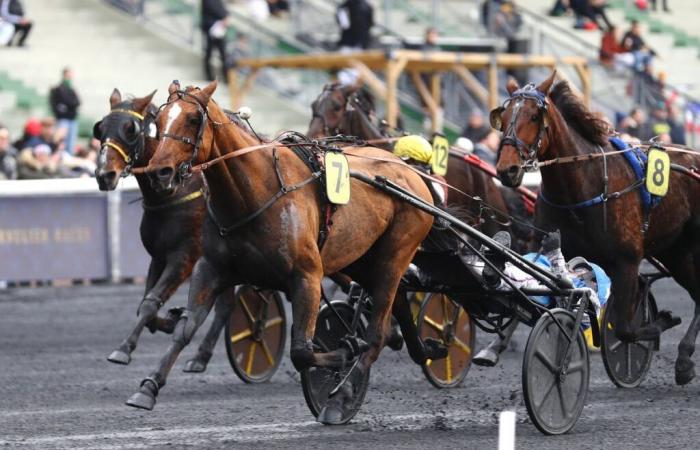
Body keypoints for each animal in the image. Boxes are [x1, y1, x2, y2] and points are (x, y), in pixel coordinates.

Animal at [93, 89, 237, 374]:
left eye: (130, 129)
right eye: (100, 128)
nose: (105, 174)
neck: (175, 191)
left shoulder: (185, 257)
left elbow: (150, 302)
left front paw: (123, 349)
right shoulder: (158, 256)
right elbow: (146, 303)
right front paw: (170, 320)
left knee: (227, 306)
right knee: (226, 304)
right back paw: (200, 356)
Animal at [125, 81, 432, 422]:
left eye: (193, 119)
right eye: (159, 120)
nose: (160, 172)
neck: (256, 192)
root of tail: (411, 173)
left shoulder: (307, 275)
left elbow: (302, 351)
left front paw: (343, 353)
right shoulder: (210, 267)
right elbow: (185, 328)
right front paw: (148, 387)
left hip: (394, 256)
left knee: (376, 334)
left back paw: (344, 394)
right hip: (364, 259)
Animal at [492, 72, 700, 384]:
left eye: (533, 116)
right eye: (502, 117)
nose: (508, 170)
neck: (581, 188)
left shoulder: (627, 260)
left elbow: (625, 328)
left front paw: (660, 322)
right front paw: (493, 348)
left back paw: (684, 360)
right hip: (676, 252)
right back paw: (685, 359)